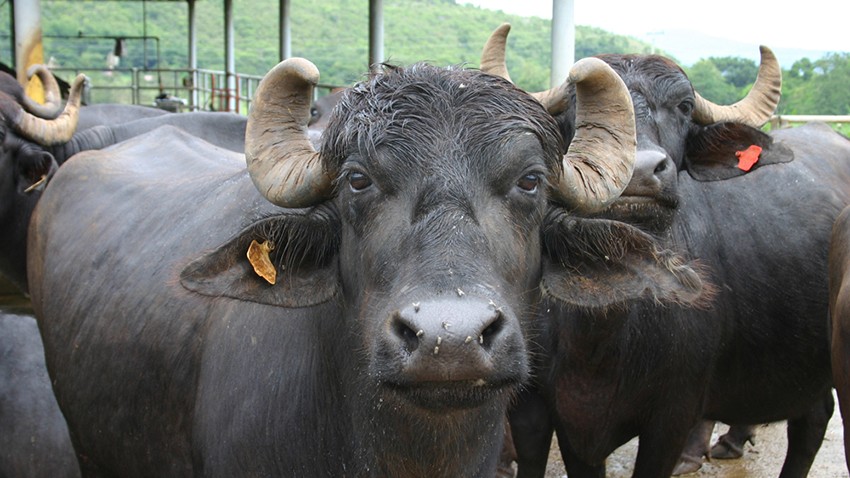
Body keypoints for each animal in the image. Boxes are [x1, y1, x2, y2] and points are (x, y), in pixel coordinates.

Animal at [484, 25, 848, 478]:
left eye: (684, 106)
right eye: (575, 107)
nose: (640, 172)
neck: (601, 332)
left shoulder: (673, 416)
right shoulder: (541, 413)